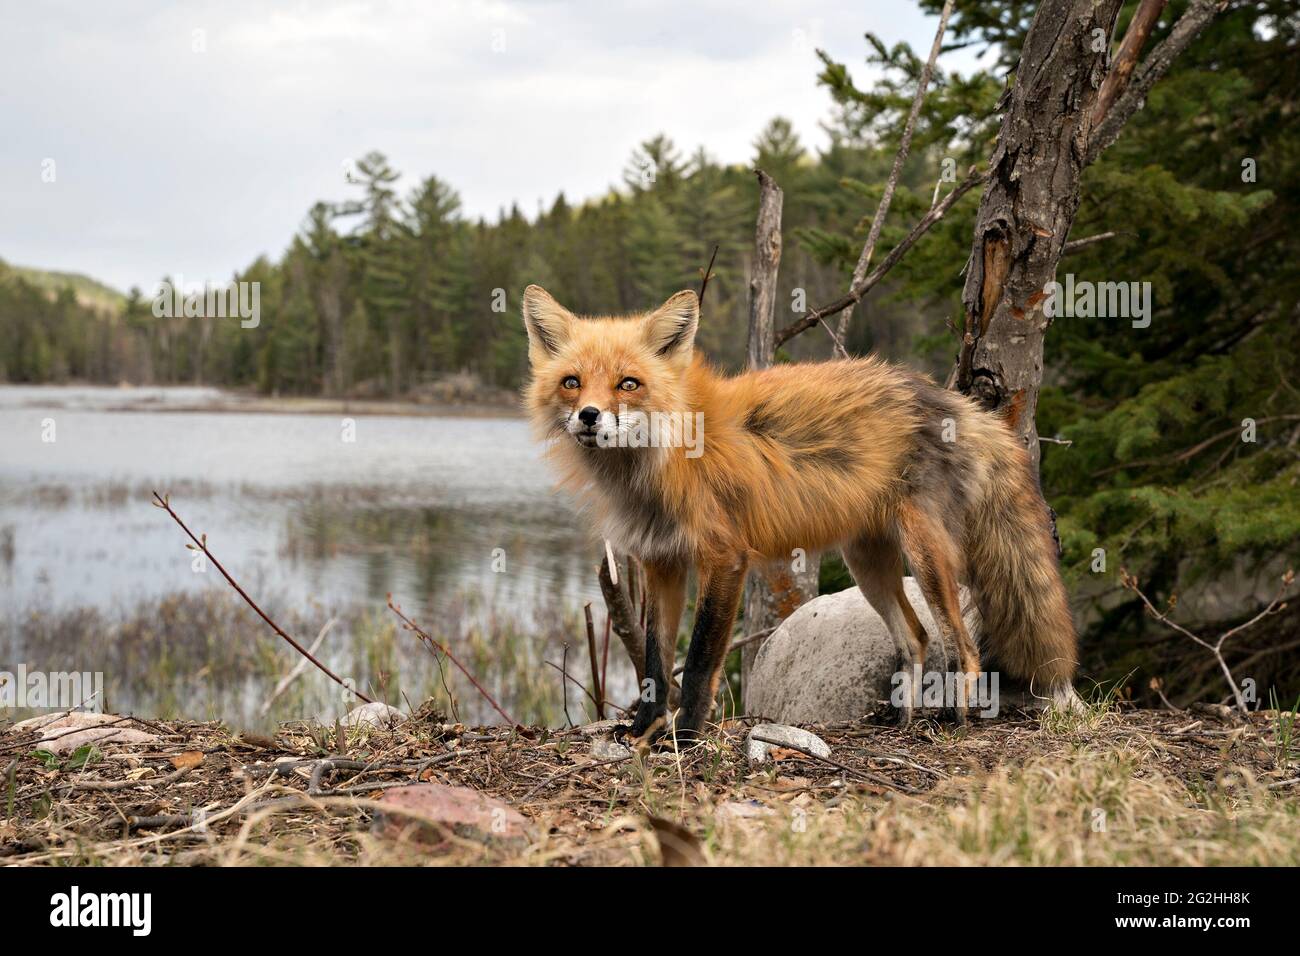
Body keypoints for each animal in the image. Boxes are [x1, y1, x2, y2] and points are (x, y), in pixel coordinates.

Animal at [521, 284, 1078, 744]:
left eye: (628, 384)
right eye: (572, 382)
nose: (589, 416)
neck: (665, 458)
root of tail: (953, 399)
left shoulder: (725, 558)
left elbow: (698, 661)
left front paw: (684, 736)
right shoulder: (662, 563)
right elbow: (656, 665)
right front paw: (643, 729)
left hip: (924, 552)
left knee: (962, 646)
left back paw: (952, 722)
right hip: (867, 563)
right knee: (916, 638)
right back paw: (900, 720)